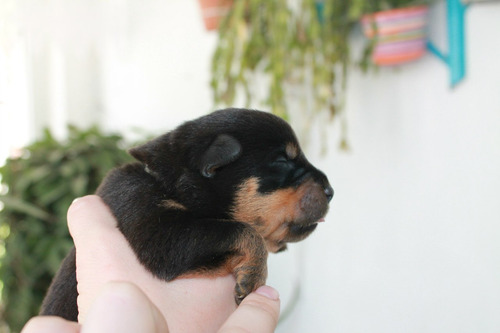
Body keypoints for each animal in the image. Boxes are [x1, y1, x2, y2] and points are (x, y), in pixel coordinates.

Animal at [41, 108, 334, 320]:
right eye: (283, 160)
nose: (331, 191)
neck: (166, 182)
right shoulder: (158, 231)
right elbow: (242, 231)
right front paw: (254, 275)